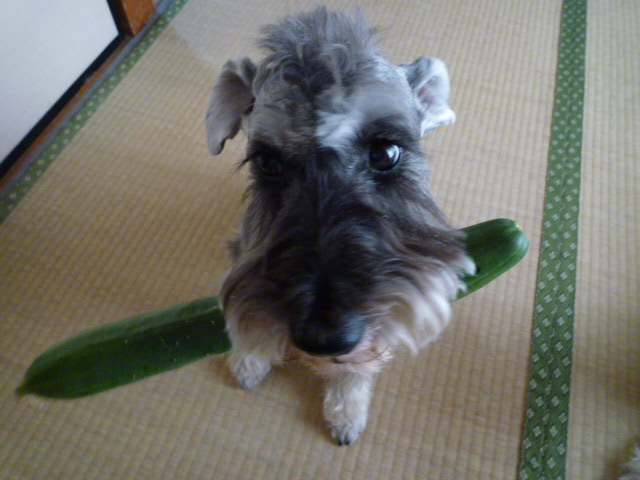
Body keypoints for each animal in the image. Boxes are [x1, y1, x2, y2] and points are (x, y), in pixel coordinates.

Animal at [205, 7, 474, 445]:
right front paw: (250, 358)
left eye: (386, 153)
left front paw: (347, 411)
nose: (323, 338)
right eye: (267, 163)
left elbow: (358, 369)